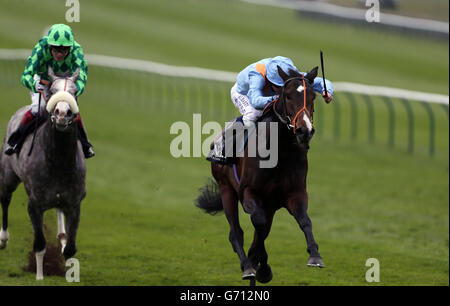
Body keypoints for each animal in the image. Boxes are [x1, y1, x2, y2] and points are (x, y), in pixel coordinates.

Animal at [0, 67, 85, 280]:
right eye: (53, 90)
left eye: (74, 92)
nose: (62, 113)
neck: (58, 162)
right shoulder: (35, 204)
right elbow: (39, 245)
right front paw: (39, 275)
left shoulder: (74, 204)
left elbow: (71, 248)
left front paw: (70, 273)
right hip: (8, 176)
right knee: (5, 200)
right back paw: (3, 239)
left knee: (59, 212)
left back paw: (61, 237)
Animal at [195, 65, 328, 284]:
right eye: (287, 95)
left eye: (313, 97)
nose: (304, 131)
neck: (280, 152)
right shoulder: (249, 193)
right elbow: (258, 224)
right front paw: (257, 265)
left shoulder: (294, 194)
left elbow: (304, 221)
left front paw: (315, 256)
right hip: (226, 189)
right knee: (236, 233)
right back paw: (248, 266)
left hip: (269, 205)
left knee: (261, 231)